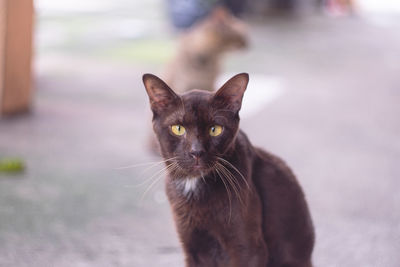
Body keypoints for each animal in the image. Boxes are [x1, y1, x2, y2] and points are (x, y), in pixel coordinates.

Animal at [142, 73, 314, 267]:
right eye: (178, 129)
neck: (194, 186)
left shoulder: (249, 249)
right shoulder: (192, 247)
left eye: (215, 129)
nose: (196, 152)